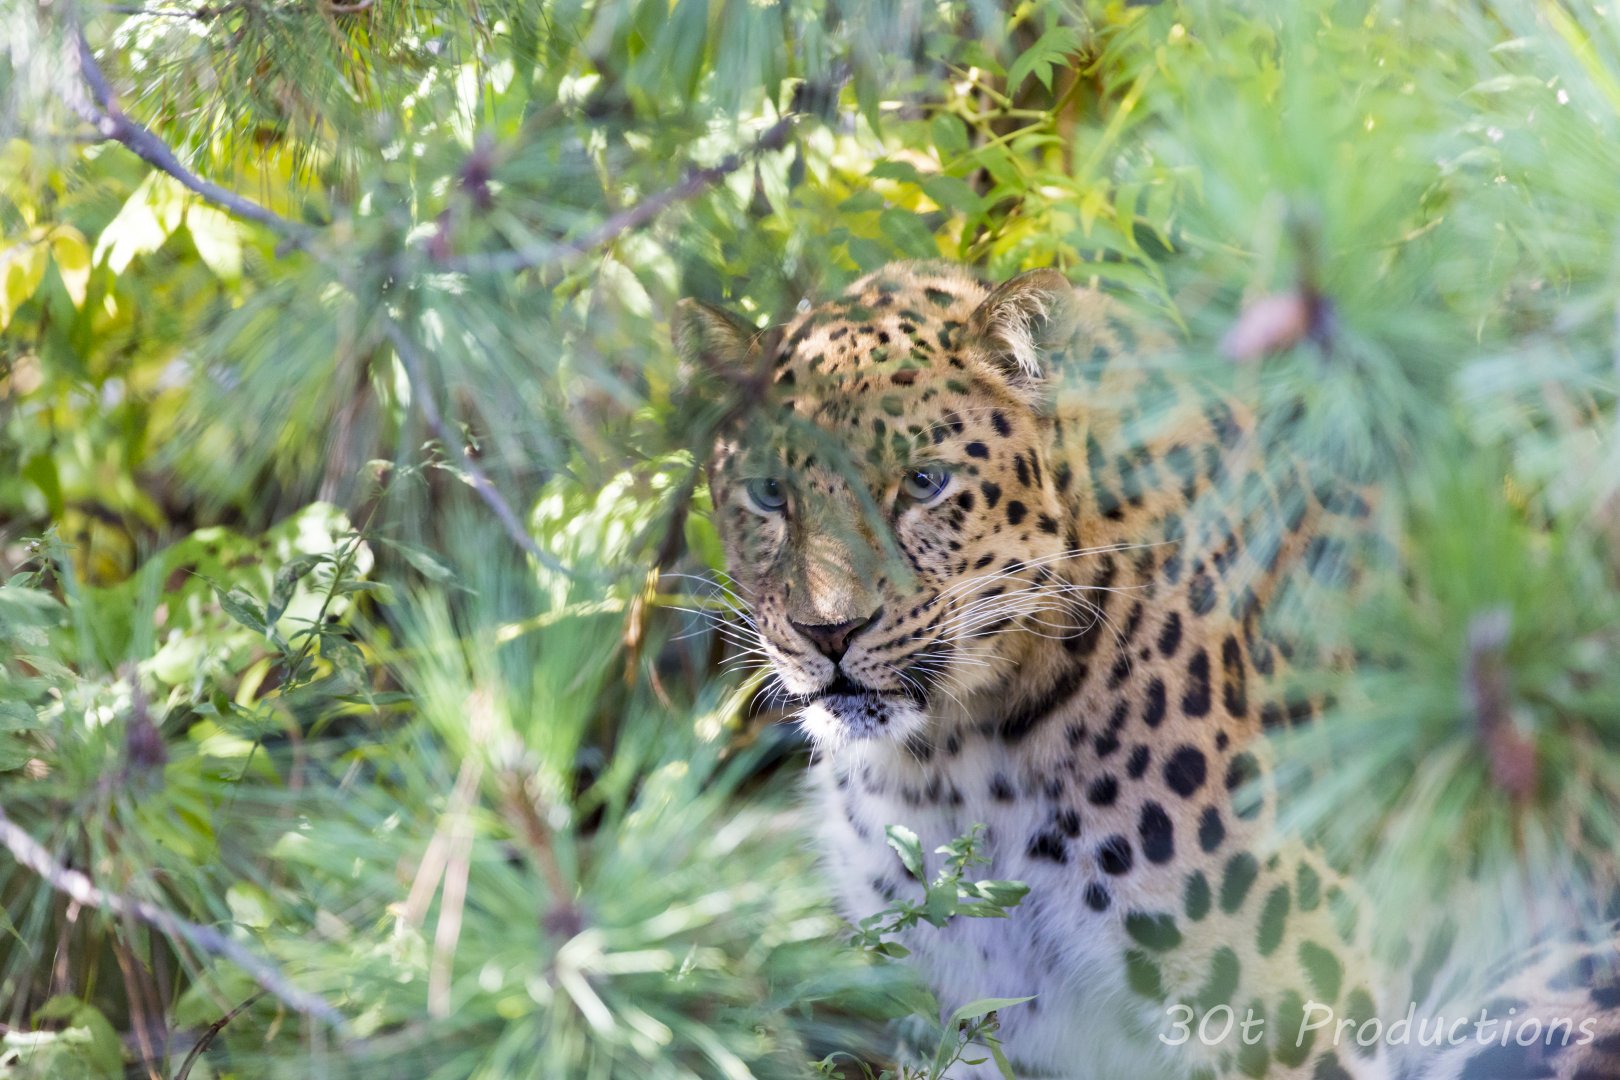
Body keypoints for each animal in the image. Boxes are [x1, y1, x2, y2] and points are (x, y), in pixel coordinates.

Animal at [673, 260, 1620, 1080]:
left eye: (924, 482)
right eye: (768, 494)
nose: (826, 631)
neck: (952, 762)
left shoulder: (1284, 1022)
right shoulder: (979, 1016)